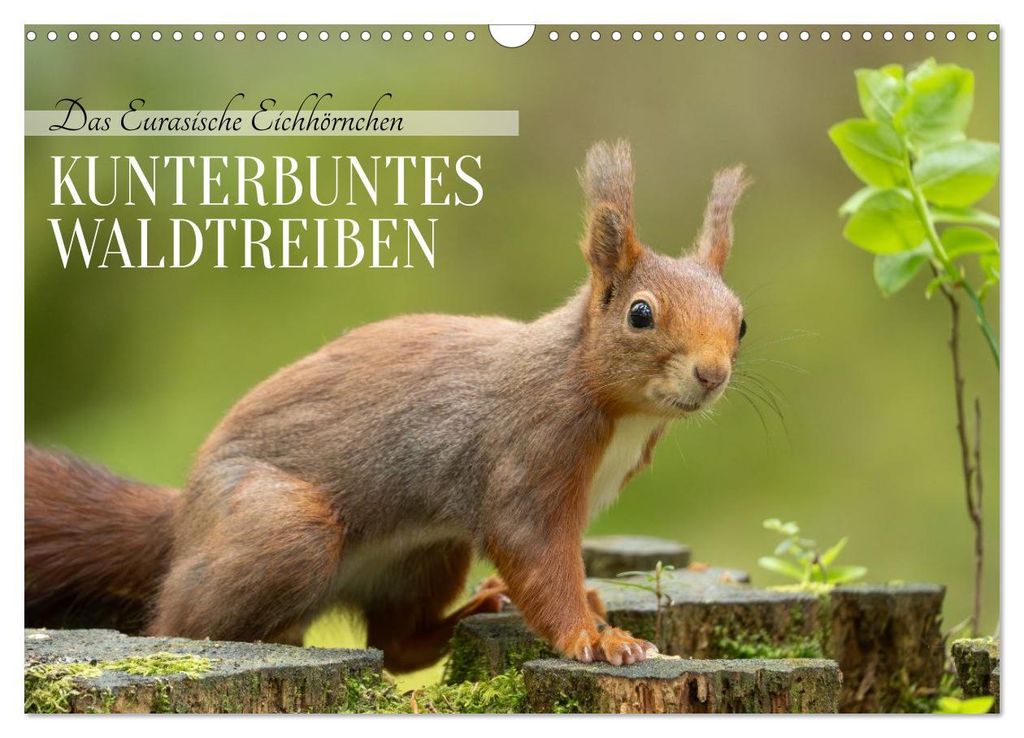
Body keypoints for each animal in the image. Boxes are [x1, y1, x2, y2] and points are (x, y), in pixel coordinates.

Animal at [25, 140, 750, 673]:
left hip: (425, 553)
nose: (712, 374)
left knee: (397, 647)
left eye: (741, 322)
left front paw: (593, 607)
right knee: (175, 624)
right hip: (280, 528)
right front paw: (595, 637)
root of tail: (184, 521)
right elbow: (534, 550)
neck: (607, 399)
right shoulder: (531, 450)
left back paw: (472, 613)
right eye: (640, 314)